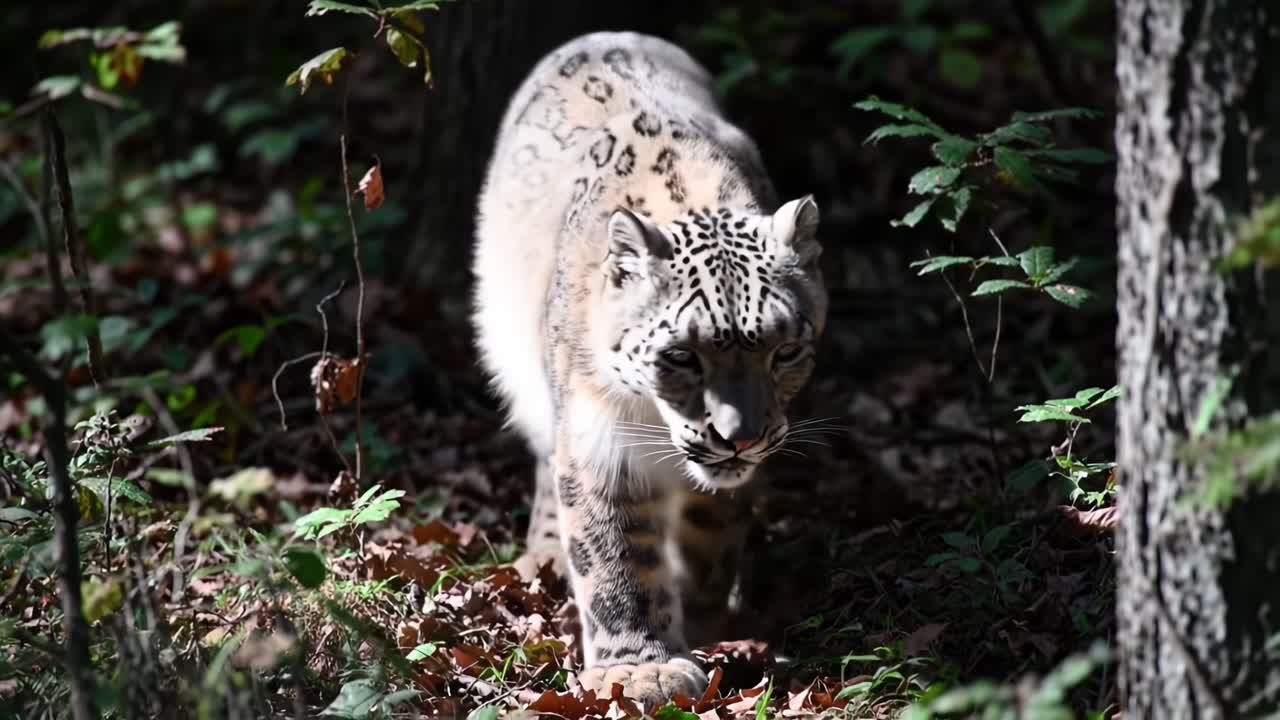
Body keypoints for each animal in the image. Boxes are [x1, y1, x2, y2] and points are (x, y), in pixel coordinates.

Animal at [471, 31, 827, 705]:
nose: (740, 437)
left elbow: (714, 530)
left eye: (784, 351)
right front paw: (641, 670)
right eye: (680, 355)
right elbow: (615, 556)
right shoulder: (598, 439)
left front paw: (703, 616)